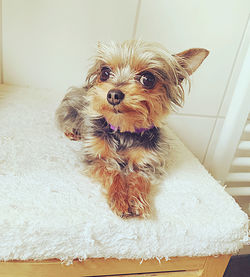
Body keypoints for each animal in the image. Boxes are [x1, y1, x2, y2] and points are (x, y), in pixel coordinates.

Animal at [56, 40, 209, 218]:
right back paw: (73, 131)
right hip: (71, 107)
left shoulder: (147, 162)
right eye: (105, 72)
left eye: (148, 79)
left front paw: (137, 200)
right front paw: (119, 199)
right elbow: (113, 172)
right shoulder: (97, 157)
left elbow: (139, 178)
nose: (113, 94)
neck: (124, 130)